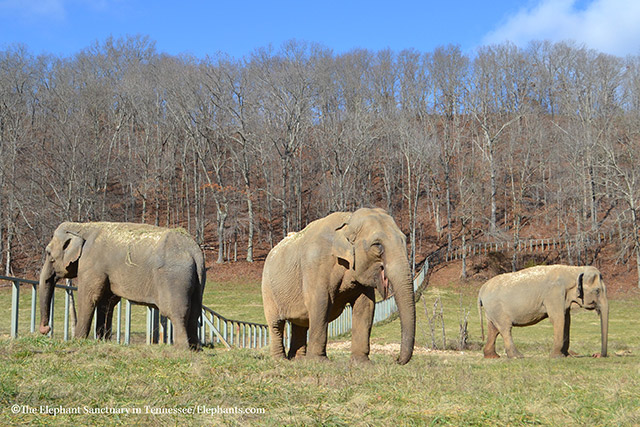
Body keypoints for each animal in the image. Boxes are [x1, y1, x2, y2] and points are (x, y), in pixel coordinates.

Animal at [38, 222, 204, 350]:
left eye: (48, 253)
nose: (45, 329)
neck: (82, 226)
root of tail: (194, 251)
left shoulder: (91, 264)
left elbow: (89, 297)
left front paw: (78, 341)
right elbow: (107, 302)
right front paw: (102, 341)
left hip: (173, 278)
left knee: (176, 312)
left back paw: (181, 349)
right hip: (197, 280)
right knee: (194, 312)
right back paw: (195, 349)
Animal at [260, 207, 416, 364]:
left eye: (404, 240)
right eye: (377, 245)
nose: (396, 360)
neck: (348, 220)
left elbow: (365, 305)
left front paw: (362, 363)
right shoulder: (316, 265)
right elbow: (321, 303)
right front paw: (319, 361)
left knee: (300, 323)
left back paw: (298, 360)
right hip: (267, 288)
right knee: (276, 324)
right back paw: (281, 360)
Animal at [476, 266, 608, 360]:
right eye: (597, 291)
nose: (596, 355)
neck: (575, 270)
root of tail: (481, 290)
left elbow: (566, 320)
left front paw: (567, 356)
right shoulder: (554, 294)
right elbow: (558, 319)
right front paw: (557, 357)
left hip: (491, 310)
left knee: (493, 329)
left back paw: (492, 356)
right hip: (496, 307)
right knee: (505, 328)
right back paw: (517, 356)